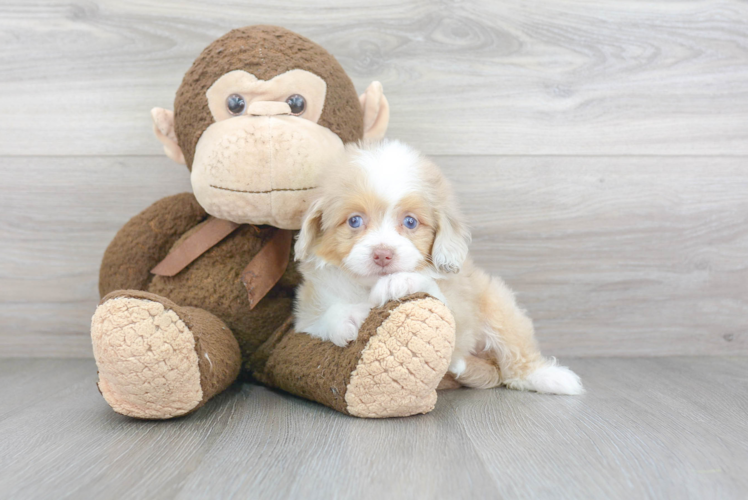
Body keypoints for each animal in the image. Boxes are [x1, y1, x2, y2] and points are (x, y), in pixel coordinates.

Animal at [294, 138, 584, 394]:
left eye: (410, 222)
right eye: (354, 221)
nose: (383, 254)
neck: (367, 288)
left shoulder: (461, 307)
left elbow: (440, 301)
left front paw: (402, 281)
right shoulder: (307, 312)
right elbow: (320, 317)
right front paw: (345, 318)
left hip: (497, 305)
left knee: (515, 356)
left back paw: (548, 377)